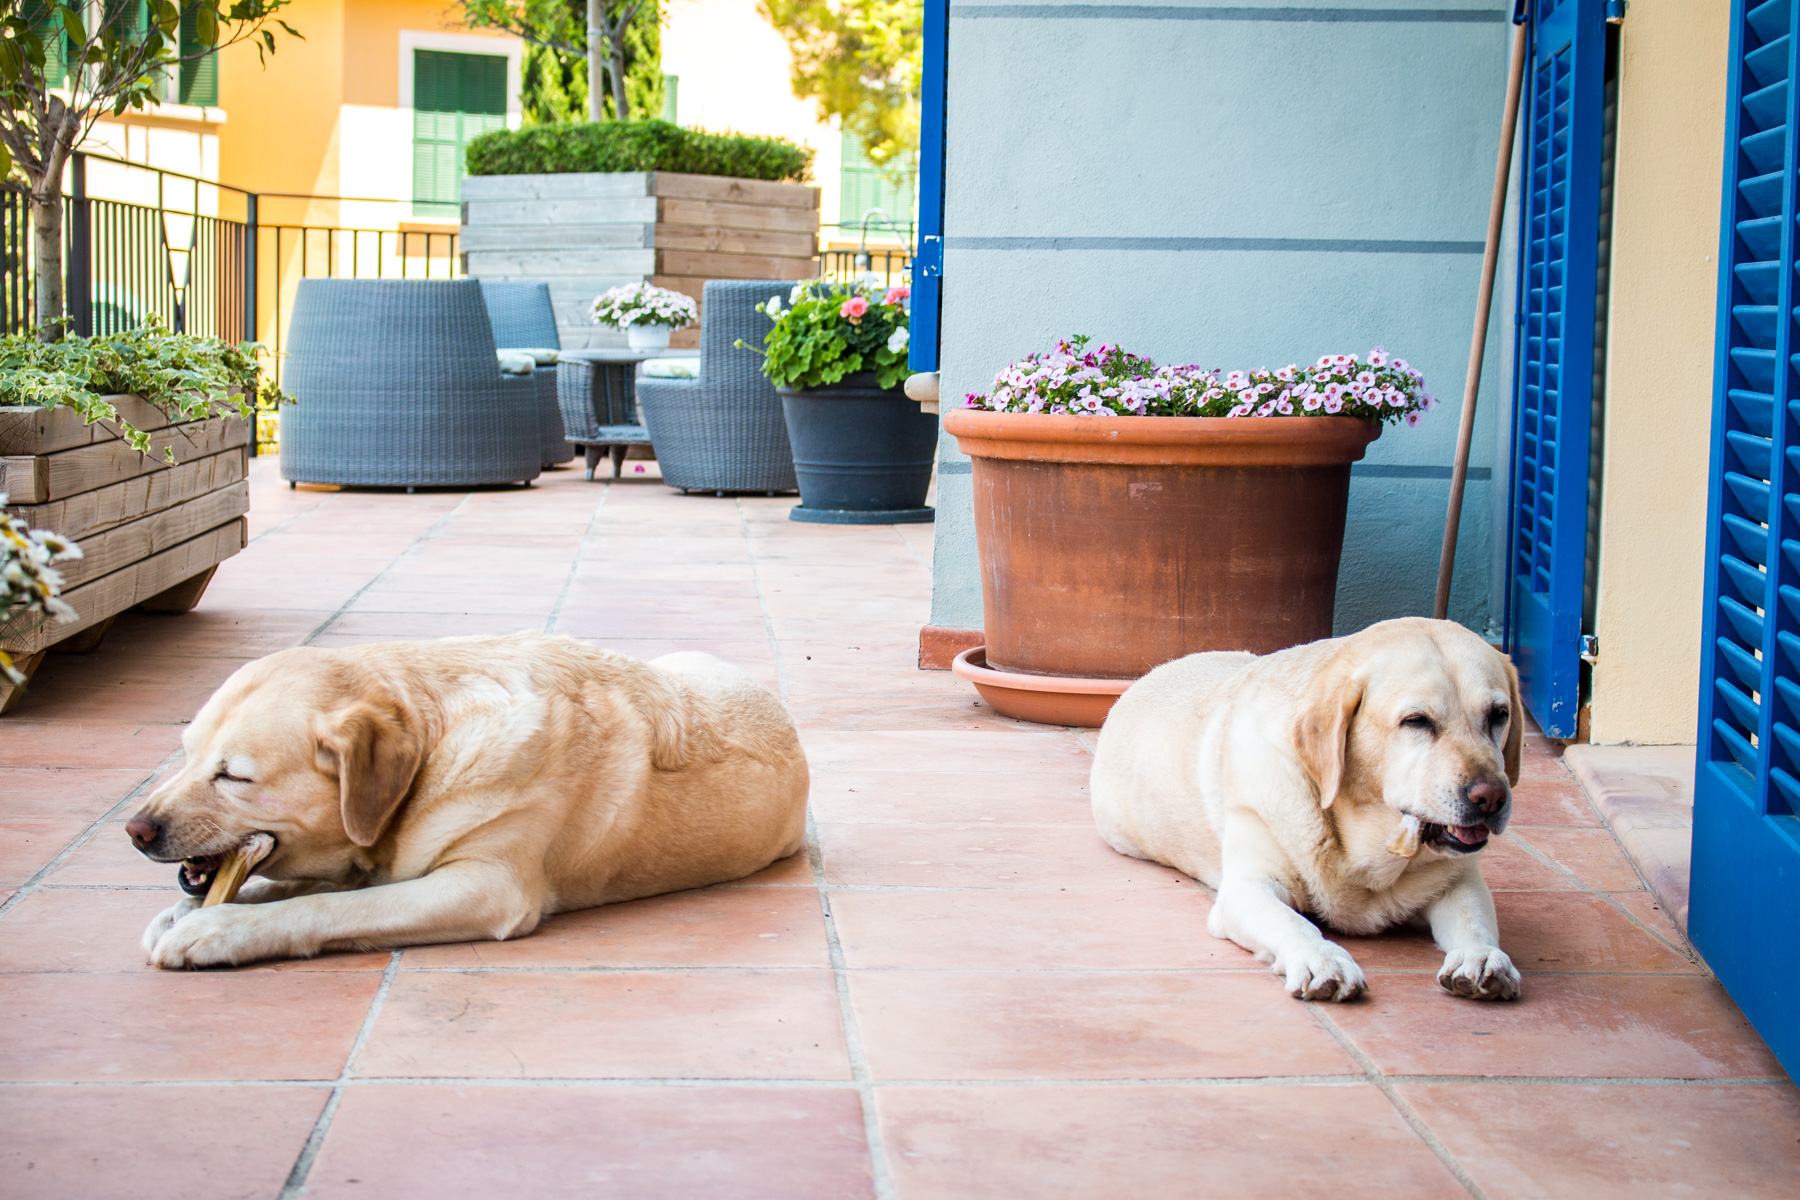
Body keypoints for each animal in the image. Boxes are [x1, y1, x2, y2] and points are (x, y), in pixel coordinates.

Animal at [126, 633, 802, 971]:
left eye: (234, 776)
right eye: (186, 753)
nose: (137, 830)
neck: (433, 736)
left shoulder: (486, 887)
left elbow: (329, 907)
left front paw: (217, 929)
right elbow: (292, 886)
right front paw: (186, 913)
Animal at [1087, 618, 1526, 1007]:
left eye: (1498, 715)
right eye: (1416, 721)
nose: (1491, 797)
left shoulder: (1459, 880)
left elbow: (1475, 922)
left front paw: (1482, 956)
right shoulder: (1247, 888)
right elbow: (1293, 922)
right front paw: (1322, 959)